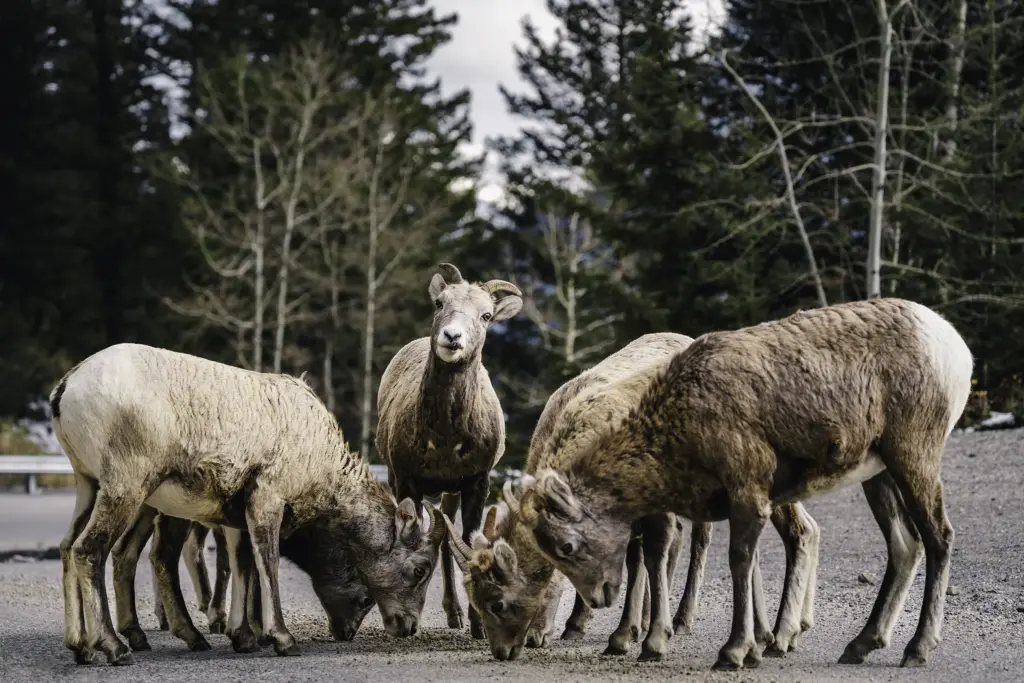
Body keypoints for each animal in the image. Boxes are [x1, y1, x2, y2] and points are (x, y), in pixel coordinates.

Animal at [49, 344, 444, 663]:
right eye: (419, 570)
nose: (407, 626)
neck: (319, 457)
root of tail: (66, 387)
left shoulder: (237, 516)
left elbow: (243, 565)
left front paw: (244, 638)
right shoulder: (267, 498)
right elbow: (266, 563)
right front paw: (281, 639)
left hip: (89, 485)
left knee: (70, 546)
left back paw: (82, 648)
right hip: (126, 487)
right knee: (91, 550)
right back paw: (116, 648)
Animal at [374, 264, 520, 643]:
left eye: (486, 315)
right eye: (440, 302)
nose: (452, 337)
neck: (443, 438)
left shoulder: (476, 482)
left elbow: (468, 541)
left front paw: (479, 626)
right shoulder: (406, 479)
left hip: (450, 492)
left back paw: (456, 617)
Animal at [444, 333, 819, 659]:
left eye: (497, 602)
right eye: (473, 600)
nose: (503, 651)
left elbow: (649, 555)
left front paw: (642, 639)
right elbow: (633, 559)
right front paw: (620, 633)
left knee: (787, 530)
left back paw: (770, 633)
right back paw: (773, 630)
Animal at [516, 296, 970, 667]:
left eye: (566, 547)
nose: (600, 596)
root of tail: (952, 346)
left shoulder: (747, 492)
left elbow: (738, 561)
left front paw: (731, 652)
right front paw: (752, 647)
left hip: (913, 457)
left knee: (938, 537)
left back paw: (915, 648)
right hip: (877, 474)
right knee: (904, 545)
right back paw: (859, 645)